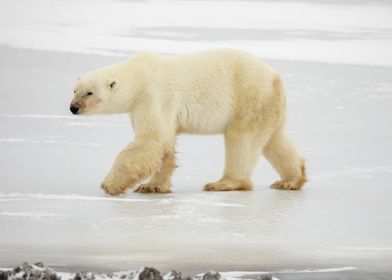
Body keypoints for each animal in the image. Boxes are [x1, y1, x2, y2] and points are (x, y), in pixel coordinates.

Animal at [72, 49, 308, 194]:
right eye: (75, 90)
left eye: (89, 93)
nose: (73, 108)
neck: (141, 76)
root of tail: (275, 76)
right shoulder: (143, 107)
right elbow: (163, 145)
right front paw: (152, 187)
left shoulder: (155, 97)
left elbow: (151, 140)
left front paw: (109, 185)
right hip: (269, 105)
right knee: (275, 140)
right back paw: (290, 180)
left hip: (250, 97)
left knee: (241, 140)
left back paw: (223, 183)